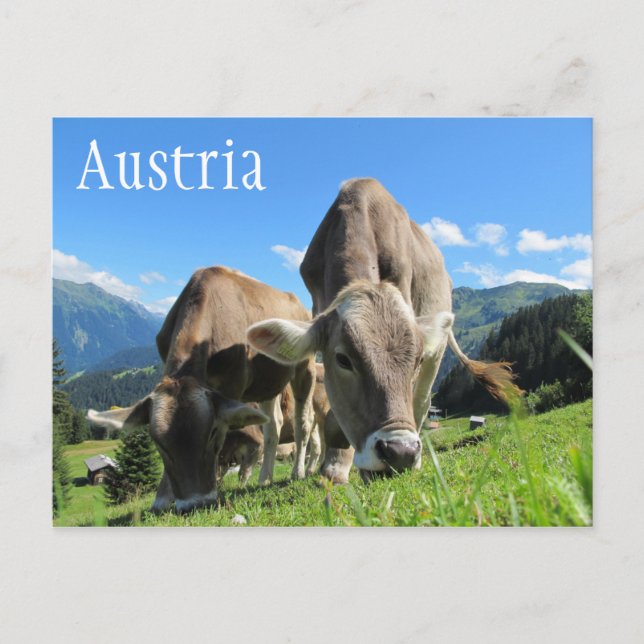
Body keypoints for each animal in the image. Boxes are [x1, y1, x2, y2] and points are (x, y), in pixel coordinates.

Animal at [87, 266, 316, 513]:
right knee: (273, 425)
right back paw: (265, 478)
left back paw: (298, 472)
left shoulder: (232, 386)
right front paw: (162, 498)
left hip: (305, 367)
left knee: (303, 422)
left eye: (213, 432)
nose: (194, 504)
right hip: (268, 382)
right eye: (158, 443)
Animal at [247, 178, 520, 483]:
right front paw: (335, 466)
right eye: (343, 359)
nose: (401, 452)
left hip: (437, 353)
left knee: (422, 401)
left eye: (416, 359)